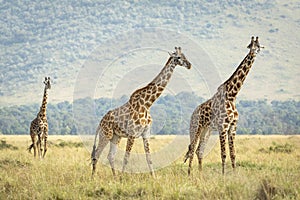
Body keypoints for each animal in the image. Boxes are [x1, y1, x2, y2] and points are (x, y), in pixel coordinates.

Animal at [90, 47, 191, 177]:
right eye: (178, 57)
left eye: (185, 55)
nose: (189, 65)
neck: (146, 104)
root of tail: (100, 122)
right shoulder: (132, 134)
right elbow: (126, 158)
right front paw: (123, 178)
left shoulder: (146, 133)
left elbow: (149, 158)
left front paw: (153, 177)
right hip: (105, 135)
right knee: (96, 154)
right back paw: (94, 177)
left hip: (116, 137)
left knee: (110, 156)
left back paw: (115, 177)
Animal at [183, 36, 262, 174]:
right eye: (250, 46)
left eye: (258, 46)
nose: (253, 53)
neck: (232, 95)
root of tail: (193, 114)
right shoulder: (223, 127)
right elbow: (223, 154)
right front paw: (224, 175)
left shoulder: (233, 127)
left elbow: (233, 154)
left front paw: (235, 174)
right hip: (196, 128)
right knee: (192, 149)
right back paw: (189, 174)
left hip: (206, 130)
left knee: (199, 150)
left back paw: (200, 174)